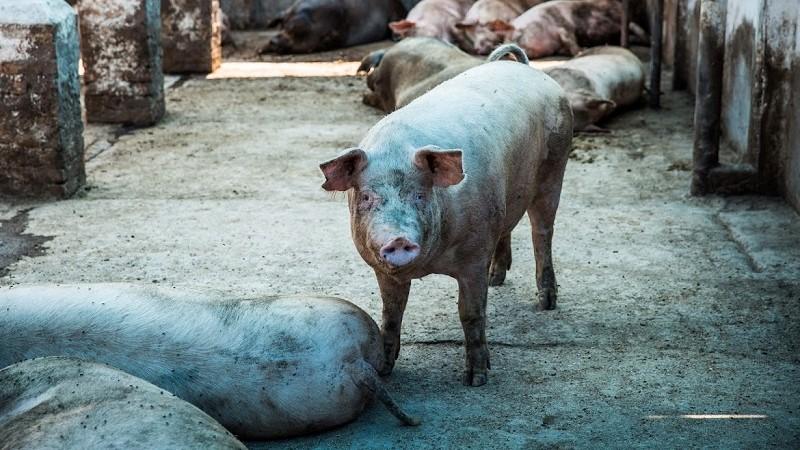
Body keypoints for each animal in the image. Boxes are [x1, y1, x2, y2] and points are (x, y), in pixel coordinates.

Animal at [316, 43, 572, 386]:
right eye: (368, 197)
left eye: (420, 194)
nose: (398, 239)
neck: (430, 265)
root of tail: (526, 69)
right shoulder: (382, 269)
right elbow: (390, 314)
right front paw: (384, 370)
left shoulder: (475, 254)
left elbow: (471, 313)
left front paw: (476, 379)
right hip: (509, 194)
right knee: (508, 226)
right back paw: (497, 279)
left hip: (555, 166)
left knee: (542, 231)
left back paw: (546, 302)